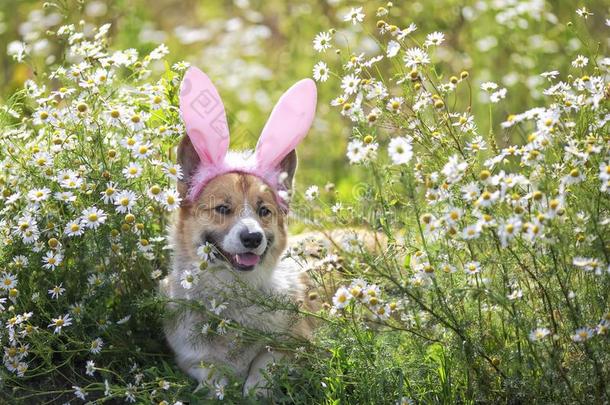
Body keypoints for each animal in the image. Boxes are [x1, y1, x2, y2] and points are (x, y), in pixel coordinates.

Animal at [157, 67, 318, 398]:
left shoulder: (296, 345)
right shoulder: (192, 359)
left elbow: (262, 371)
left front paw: (253, 390)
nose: (252, 238)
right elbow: (214, 377)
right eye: (222, 208)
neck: (232, 296)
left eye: (264, 211)